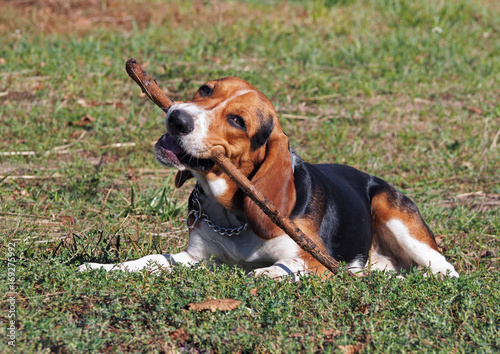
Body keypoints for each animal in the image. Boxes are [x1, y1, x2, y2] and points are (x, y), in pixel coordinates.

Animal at [80, 76, 458, 280]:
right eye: (205, 89)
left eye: (237, 121)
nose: (177, 117)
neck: (232, 217)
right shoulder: (195, 258)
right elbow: (152, 261)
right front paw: (101, 267)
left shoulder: (314, 259)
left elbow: (288, 265)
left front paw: (265, 273)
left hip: (395, 216)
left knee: (444, 266)